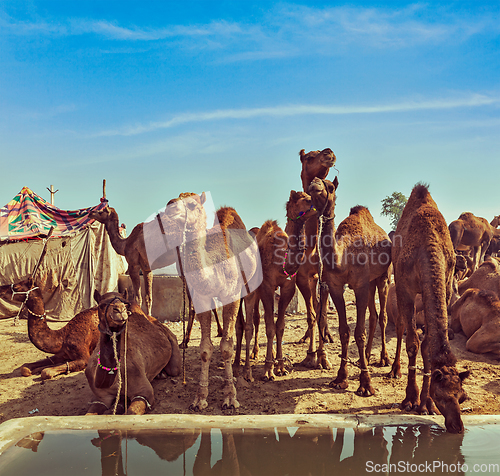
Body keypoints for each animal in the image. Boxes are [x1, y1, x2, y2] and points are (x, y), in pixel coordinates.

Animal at [157, 192, 260, 410]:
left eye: (191, 204)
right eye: (172, 200)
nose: (169, 208)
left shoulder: (230, 296)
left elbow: (226, 346)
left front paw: (230, 397)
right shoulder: (202, 298)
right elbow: (205, 348)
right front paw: (200, 398)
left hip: (251, 287)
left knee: (248, 326)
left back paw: (247, 373)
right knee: (239, 326)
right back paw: (236, 368)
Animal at [306, 177, 392, 396]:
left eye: (330, 186)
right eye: (312, 186)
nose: (314, 184)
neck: (343, 258)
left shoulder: (360, 285)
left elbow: (358, 333)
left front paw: (366, 384)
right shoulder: (336, 286)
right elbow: (344, 331)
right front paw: (340, 378)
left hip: (383, 277)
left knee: (383, 316)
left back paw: (384, 359)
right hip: (371, 282)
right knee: (374, 316)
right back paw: (367, 357)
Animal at [390, 183, 468, 436]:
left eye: (462, 397)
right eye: (443, 397)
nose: (457, 427)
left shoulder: (445, 284)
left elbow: (426, 345)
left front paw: (426, 405)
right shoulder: (405, 288)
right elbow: (413, 343)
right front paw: (410, 400)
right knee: (401, 327)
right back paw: (394, 370)